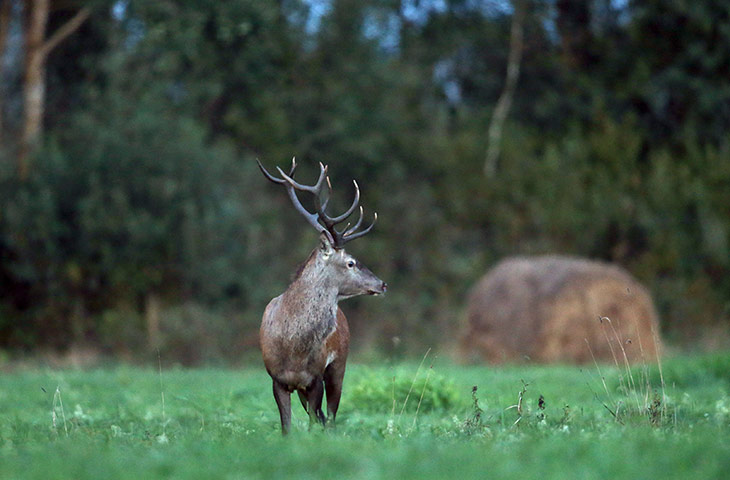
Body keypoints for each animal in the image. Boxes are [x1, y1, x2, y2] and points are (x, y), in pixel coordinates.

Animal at [257, 158, 387, 435]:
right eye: (350, 262)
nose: (382, 284)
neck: (293, 348)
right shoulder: (276, 379)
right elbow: (287, 427)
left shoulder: (315, 377)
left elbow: (316, 421)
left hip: (339, 366)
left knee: (331, 415)